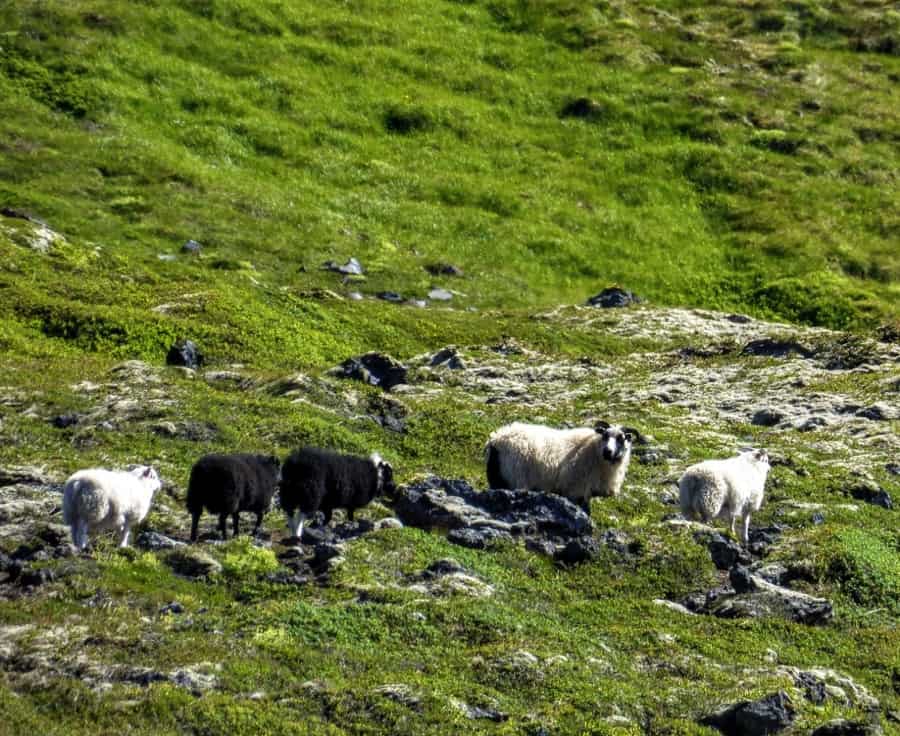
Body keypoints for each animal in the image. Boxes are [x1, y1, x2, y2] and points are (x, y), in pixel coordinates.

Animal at [486, 420, 632, 512]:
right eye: (605, 435)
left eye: (621, 438)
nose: (608, 451)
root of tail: (496, 439)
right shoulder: (575, 490)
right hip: (516, 478)